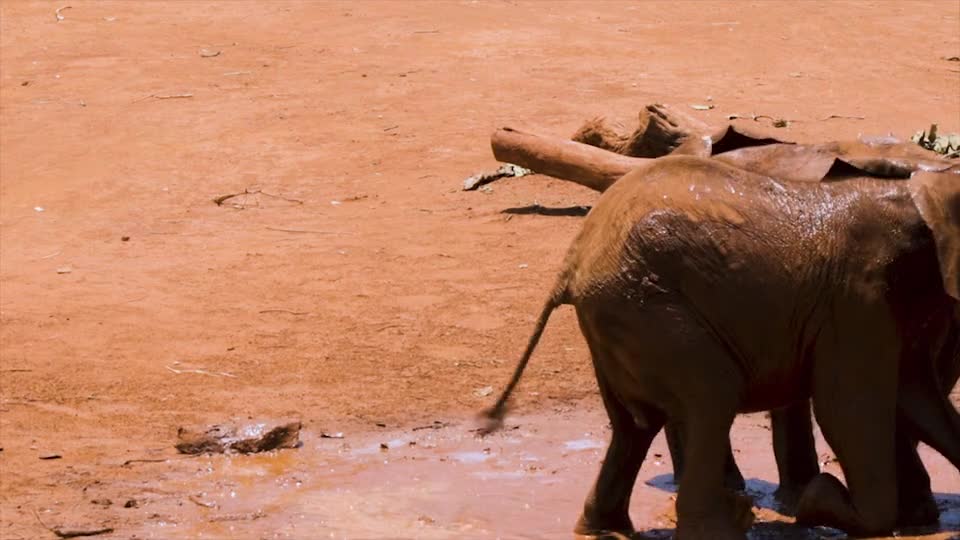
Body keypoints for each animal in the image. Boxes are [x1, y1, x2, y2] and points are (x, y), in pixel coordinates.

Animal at [484, 155, 960, 540]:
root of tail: (574, 258)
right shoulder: (857, 297)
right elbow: (848, 409)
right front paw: (817, 501)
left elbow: (919, 397)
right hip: (646, 306)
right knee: (710, 398)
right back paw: (727, 523)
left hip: (617, 317)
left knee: (633, 426)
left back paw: (605, 529)